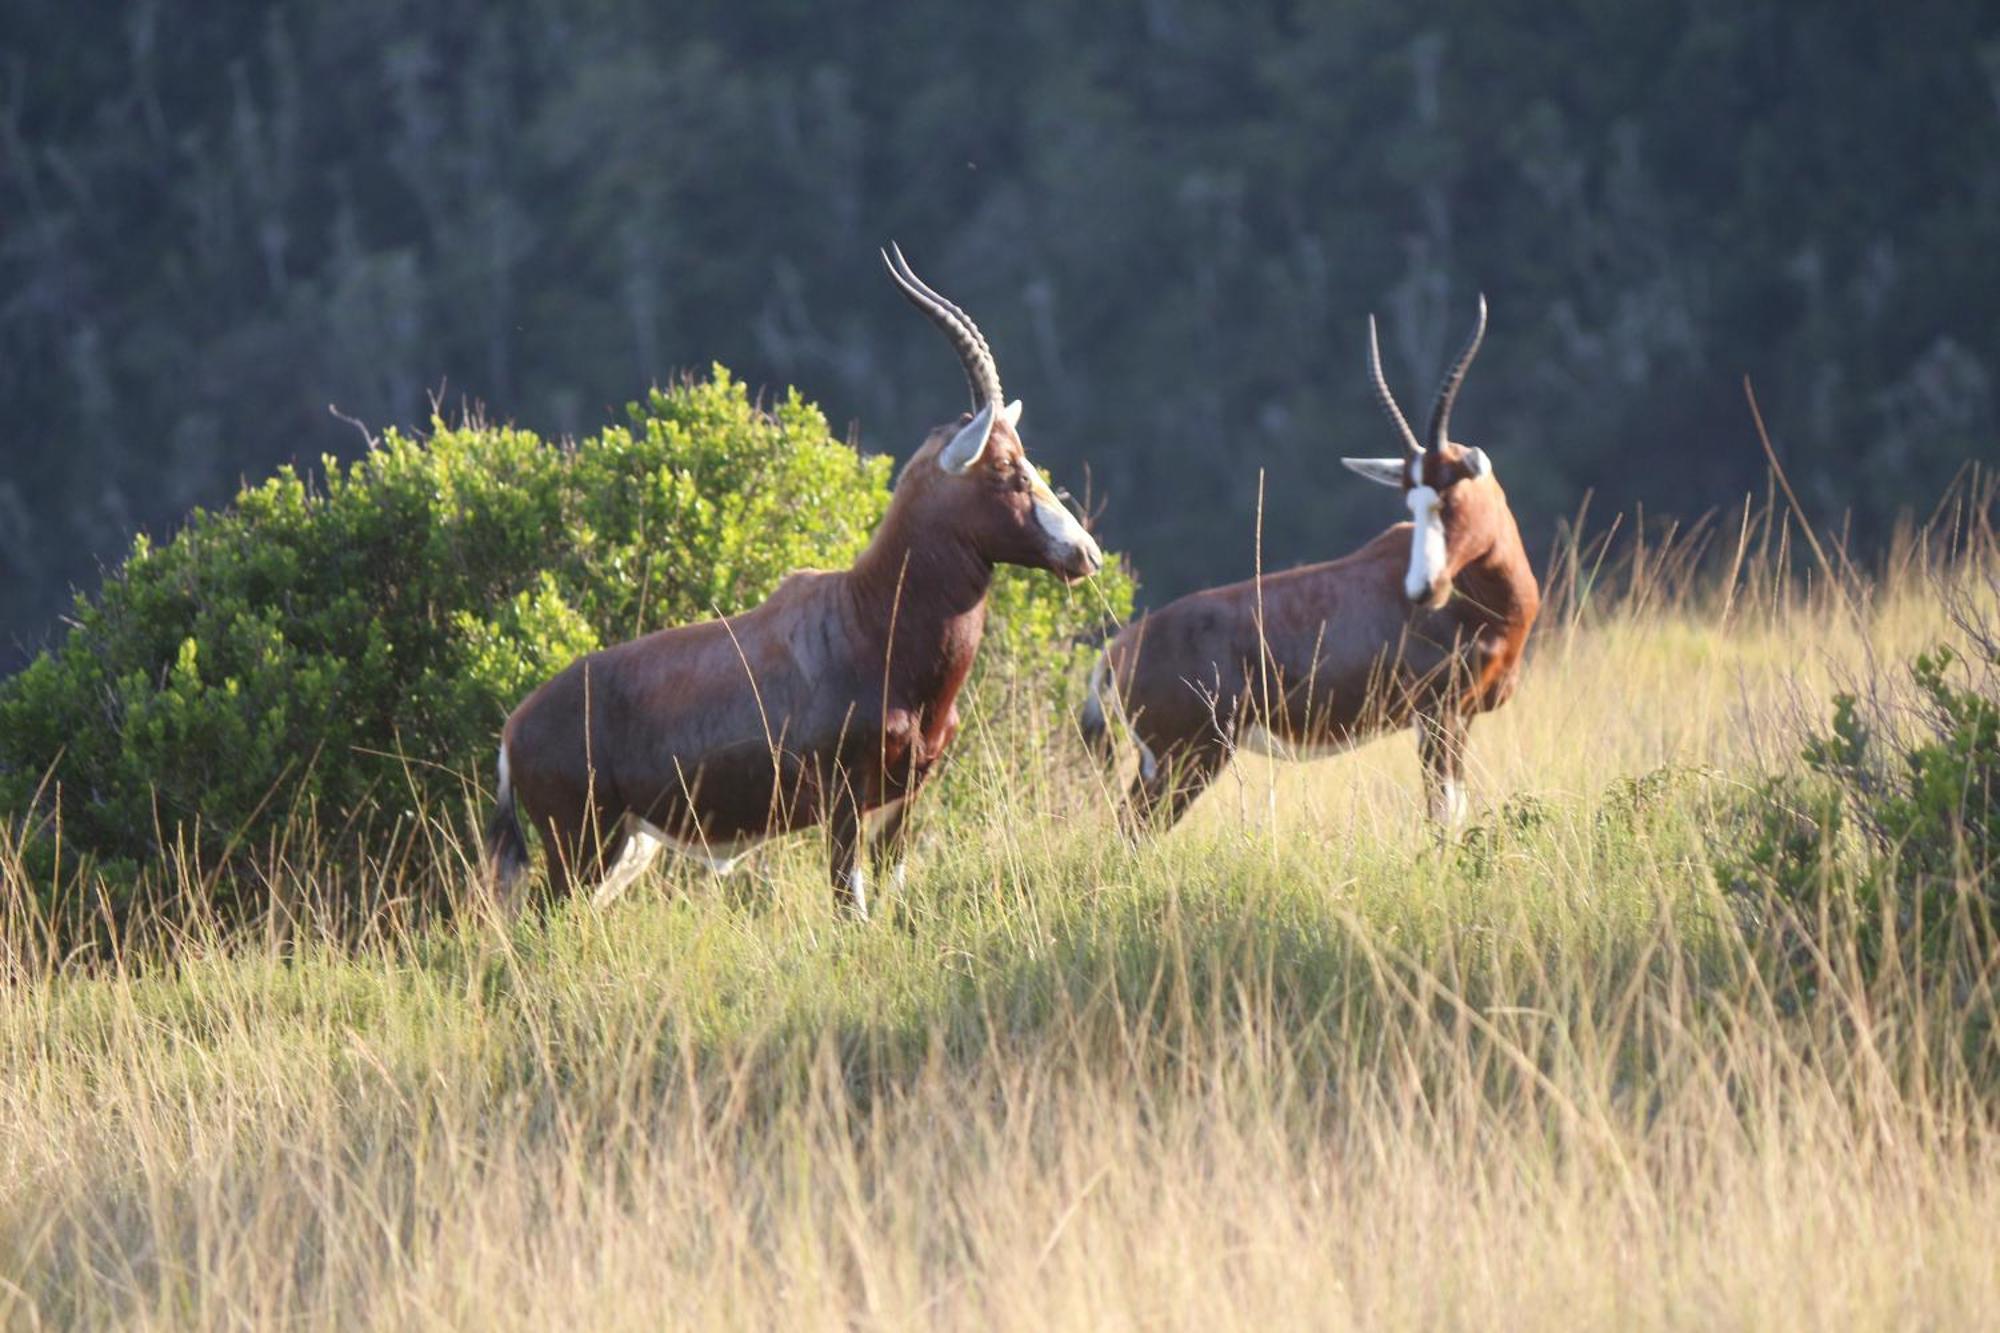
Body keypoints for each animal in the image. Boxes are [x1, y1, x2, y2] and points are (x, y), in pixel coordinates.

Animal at [488, 244, 1112, 912]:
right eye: (1005, 468)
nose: (1085, 554)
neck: (867, 617)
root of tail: (513, 730)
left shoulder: (904, 798)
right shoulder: (843, 801)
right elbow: (850, 907)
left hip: (626, 848)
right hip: (581, 844)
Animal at [1088, 296, 1536, 824]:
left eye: (1450, 495)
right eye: (1412, 502)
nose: (1422, 590)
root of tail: (1115, 654)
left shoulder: (1460, 719)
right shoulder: (1437, 716)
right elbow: (1444, 815)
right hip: (1187, 758)